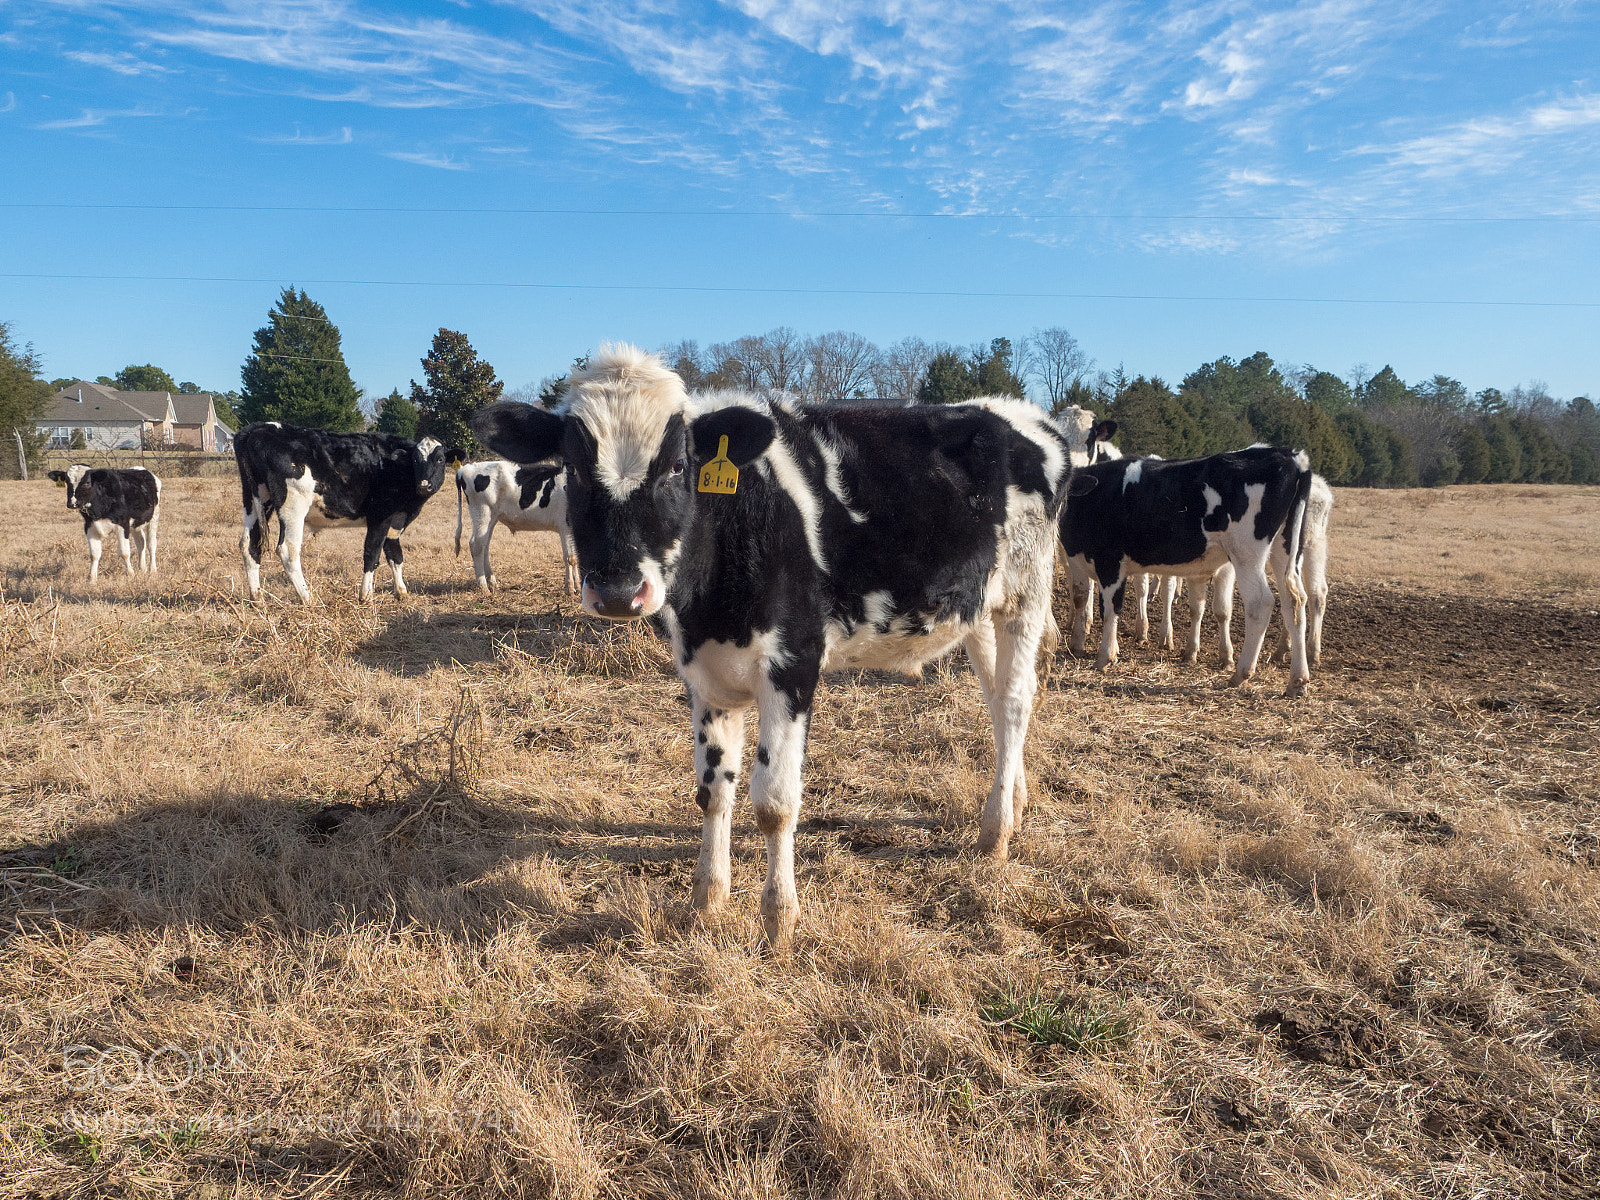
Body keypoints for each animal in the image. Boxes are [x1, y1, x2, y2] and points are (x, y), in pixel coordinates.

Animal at [234, 423, 450, 603]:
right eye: (415, 460)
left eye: (440, 459)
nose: (424, 485)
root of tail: (257, 428)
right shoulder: (380, 517)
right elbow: (372, 554)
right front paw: (366, 596)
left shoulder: (395, 521)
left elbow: (395, 555)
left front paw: (401, 592)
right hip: (293, 506)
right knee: (288, 549)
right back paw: (307, 598)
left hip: (256, 502)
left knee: (249, 544)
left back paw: (257, 599)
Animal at [453, 460, 577, 595]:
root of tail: (465, 468)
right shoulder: (565, 526)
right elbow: (569, 558)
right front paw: (570, 588)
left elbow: (576, 557)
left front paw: (579, 586)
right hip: (482, 512)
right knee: (476, 545)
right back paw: (484, 588)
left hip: (491, 518)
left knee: (484, 546)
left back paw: (493, 583)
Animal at [472, 344, 1084, 947]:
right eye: (574, 469)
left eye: (676, 466)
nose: (621, 591)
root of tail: (1026, 416)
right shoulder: (704, 673)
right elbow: (713, 791)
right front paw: (707, 900)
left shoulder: (793, 665)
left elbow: (774, 802)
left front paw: (779, 916)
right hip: (978, 607)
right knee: (998, 698)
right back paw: (1014, 802)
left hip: (1027, 594)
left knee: (1015, 702)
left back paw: (997, 832)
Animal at [1059, 433, 1314, 695]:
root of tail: (1288, 455)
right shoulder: (1077, 560)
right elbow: (1080, 597)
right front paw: (1077, 643)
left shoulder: (1110, 561)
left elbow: (1110, 608)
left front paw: (1104, 657)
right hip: (1284, 549)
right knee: (1295, 601)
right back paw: (1297, 680)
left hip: (1247, 554)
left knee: (1260, 602)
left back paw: (1241, 673)